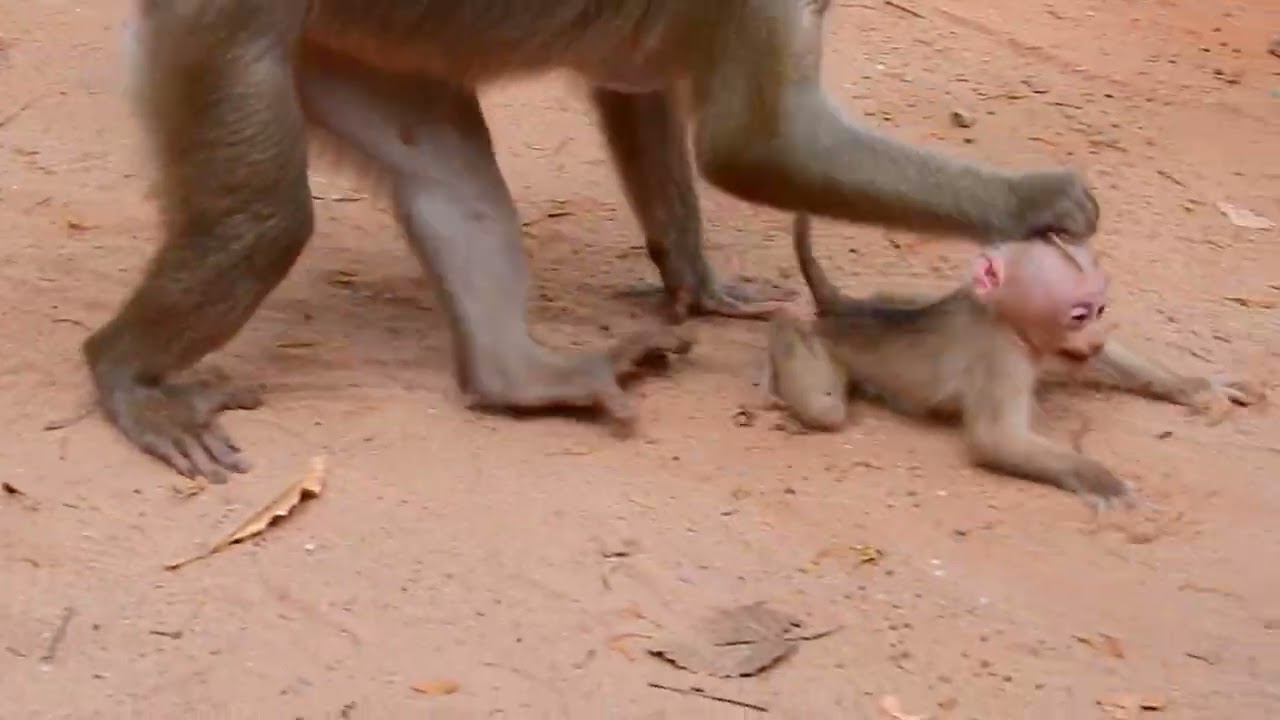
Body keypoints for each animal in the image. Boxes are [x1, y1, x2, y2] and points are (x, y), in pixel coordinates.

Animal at [88, 1, 1104, 482]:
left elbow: (636, 86)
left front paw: (700, 281)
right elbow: (758, 145)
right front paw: (1032, 198)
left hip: (339, 48)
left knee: (454, 184)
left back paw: (518, 376)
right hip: (220, 28)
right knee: (264, 224)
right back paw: (124, 372)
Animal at [764, 214, 1266, 505]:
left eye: (1100, 311)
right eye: (1078, 314)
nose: (1095, 334)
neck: (1006, 320)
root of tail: (843, 308)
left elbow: (1098, 361)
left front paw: (1196, 387)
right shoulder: (1002, 356)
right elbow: (994, 439)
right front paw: (1100, 479)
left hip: (883, 300)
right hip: (821, 351)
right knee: (823, 405)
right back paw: (778, 336)